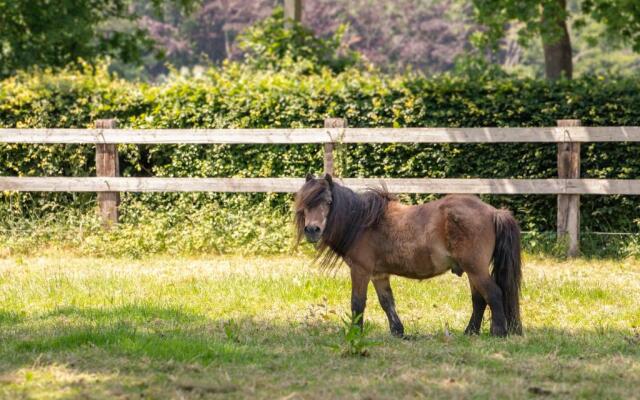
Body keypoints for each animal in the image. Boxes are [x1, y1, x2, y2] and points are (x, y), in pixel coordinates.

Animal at [294, 175, 520, 338]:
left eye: (328, 202)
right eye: (304, 203)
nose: (312, 230)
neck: (362, 223)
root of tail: (493, 212)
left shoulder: (361, 271)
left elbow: (357, 303)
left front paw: (355, 333)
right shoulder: (379, 275)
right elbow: (387, 302)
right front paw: (398, 332)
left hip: (476, 269)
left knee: (493, 294)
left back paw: (498, 333)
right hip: (472, 272)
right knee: (479, 300)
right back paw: (470, 332)